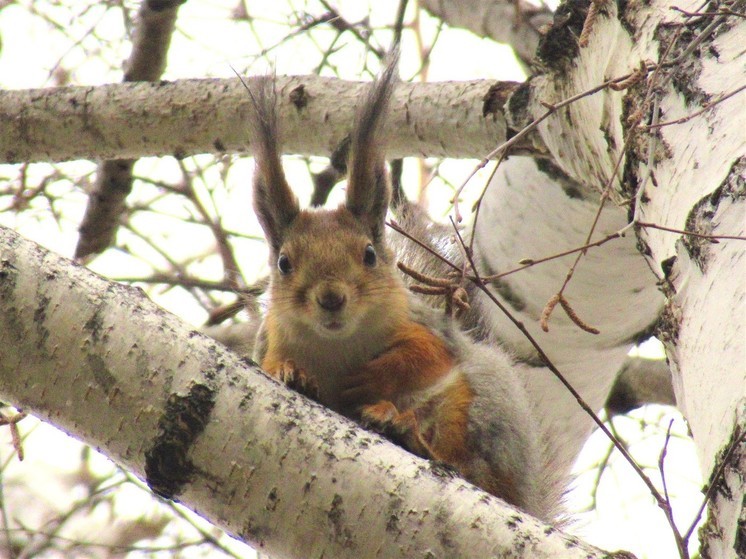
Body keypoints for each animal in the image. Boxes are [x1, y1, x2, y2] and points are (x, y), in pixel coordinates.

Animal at [247, 54, 556, 524]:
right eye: (284, 263)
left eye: (369, 254)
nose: (331, 298)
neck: (338, 343)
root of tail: (529, 497)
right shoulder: (271, 337)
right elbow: (269, 362)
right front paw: (289, 373)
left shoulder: (423, 325)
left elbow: (425, 354)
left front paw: (372, 376)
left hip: (478, 407)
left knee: (475, 471)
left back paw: (404, 429)